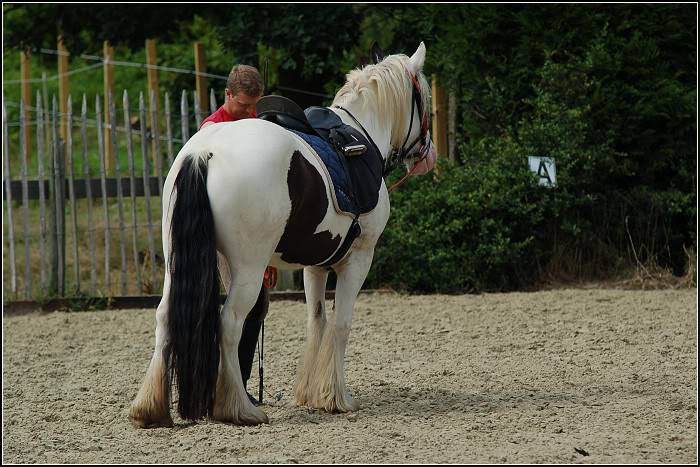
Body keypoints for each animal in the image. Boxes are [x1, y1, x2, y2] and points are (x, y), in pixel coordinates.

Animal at [130, 42, 438, 426]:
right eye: (424, 98)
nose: (429, 155)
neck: (362, 135)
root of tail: (204, 153)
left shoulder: (315, 266)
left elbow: (317, 321)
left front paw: (311, 394)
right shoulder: (358, 260)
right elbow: (341, 324)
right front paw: (338, 397)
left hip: (181, 261)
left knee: (164, 317)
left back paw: (150, 407)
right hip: (248, 270)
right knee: (229, 323)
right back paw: (239, 408)